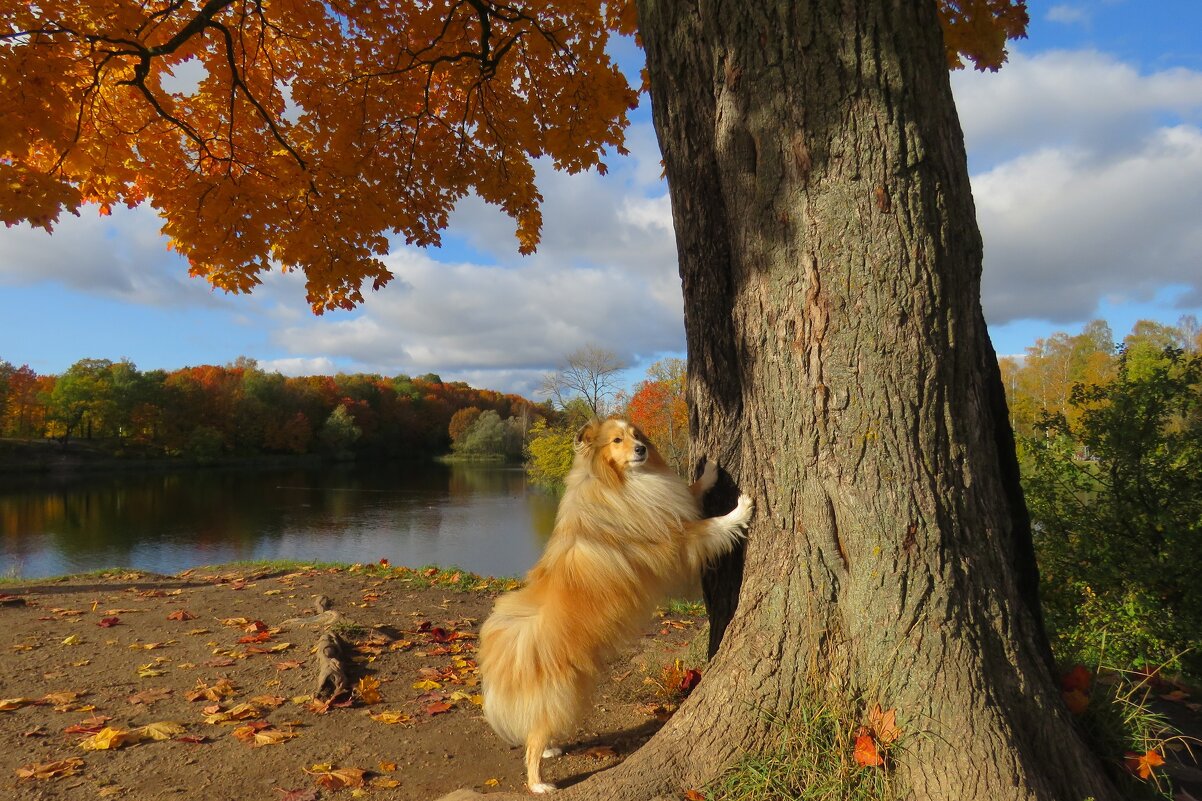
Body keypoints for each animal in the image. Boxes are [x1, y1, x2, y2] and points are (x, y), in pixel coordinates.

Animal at [475, 413, 750, 788]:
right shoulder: (677, 539)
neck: (620, 482)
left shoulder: (669, 506)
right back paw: (539, 783)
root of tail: (516, 641)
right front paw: (741, 509)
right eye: (617, 441)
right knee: (533, 741)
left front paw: (707, 471)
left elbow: (690, 491)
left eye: (637, 435)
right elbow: (710, 526)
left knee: (537, 728)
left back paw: (550, 750)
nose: (642, 449)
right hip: (565, 693)